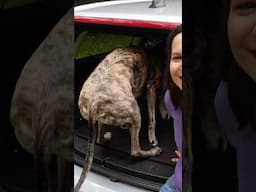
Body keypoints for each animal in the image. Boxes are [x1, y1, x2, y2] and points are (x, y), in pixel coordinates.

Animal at [74, 47, 162, 192]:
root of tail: (94, 102)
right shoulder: (151, 87)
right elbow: (152, 118)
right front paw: (153, 139)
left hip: (101, 119)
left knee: (99, 139)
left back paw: (108, 137)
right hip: (135, 111)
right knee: (135, 151)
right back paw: (153, 151)